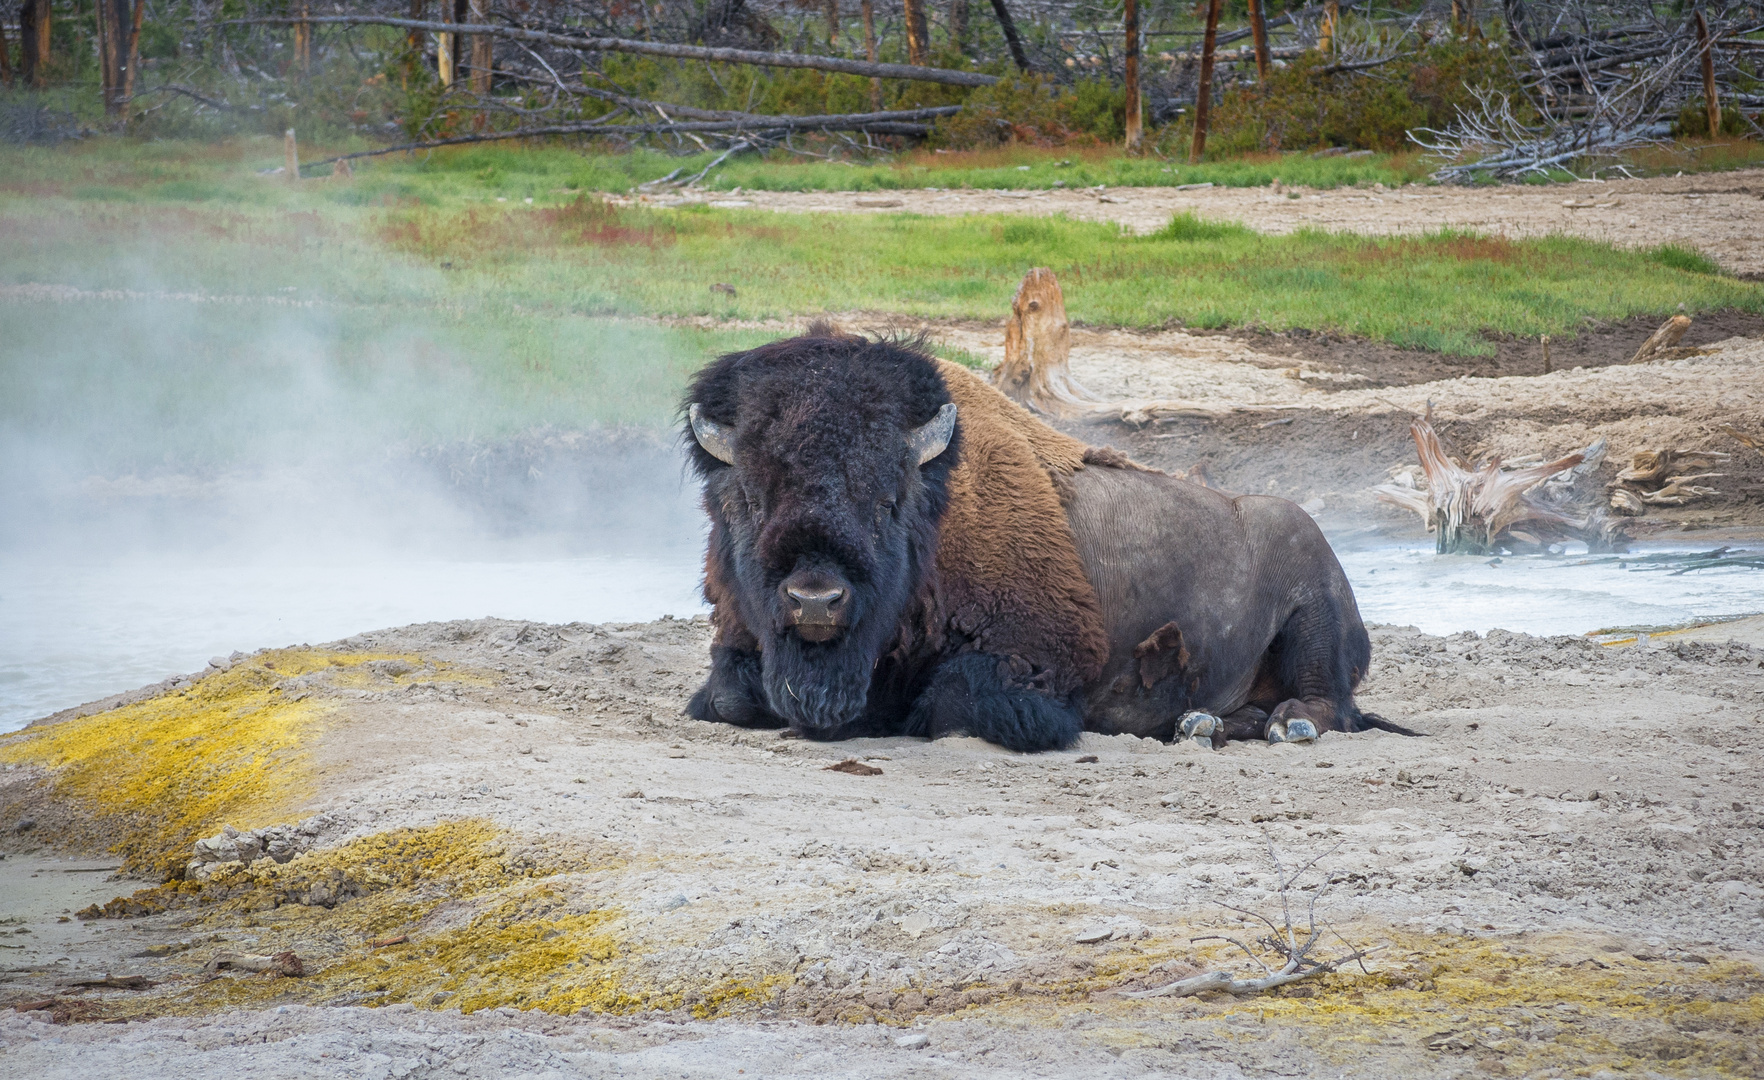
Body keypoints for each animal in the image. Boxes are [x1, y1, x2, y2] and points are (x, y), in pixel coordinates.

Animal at [680, 326, 1411, 751]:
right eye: (750, 498)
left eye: (888, 502)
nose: (815, 601)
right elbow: (727, 698)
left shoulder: (1038, 658)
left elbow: (951, 704)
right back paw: (1197, 726)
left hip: (1313, 617)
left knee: (1331, 703)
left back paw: (1287, 725)